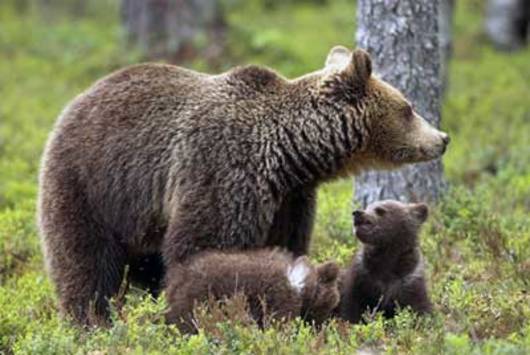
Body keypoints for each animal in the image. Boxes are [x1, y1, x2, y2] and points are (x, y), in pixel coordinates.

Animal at [38, 46, 450, 326]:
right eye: (409, 107)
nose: (443, 138)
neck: (289, 153)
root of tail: (75, 102)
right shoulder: (224, 170)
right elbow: (204, 245)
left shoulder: (289, 198)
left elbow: (285, 245)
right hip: (91, 185)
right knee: (85, 264)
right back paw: (91, 321)